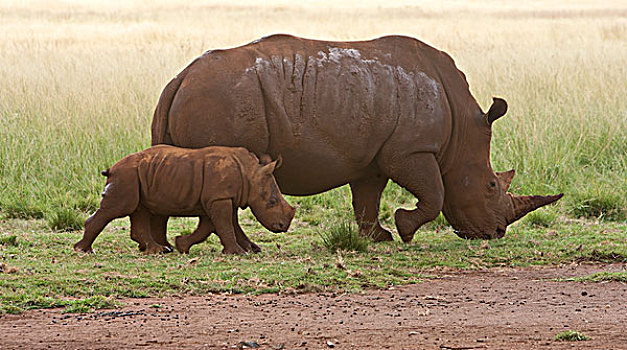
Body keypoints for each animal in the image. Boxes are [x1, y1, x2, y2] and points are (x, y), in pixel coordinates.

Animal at [73, 145, 296, 254]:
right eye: (271, 203)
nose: (283, 227)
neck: (251, 173)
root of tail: (111, 168)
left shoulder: (220, 198)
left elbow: (215, 226)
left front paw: (181, 245)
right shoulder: (219, 198)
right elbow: (224, 225)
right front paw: (238, 253)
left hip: (137, 176)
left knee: (140, 210)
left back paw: (159, 250)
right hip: (126, 175)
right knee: (118, 209)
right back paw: (84, 250)